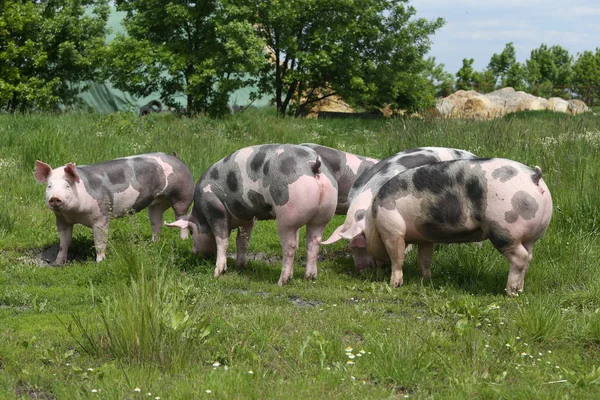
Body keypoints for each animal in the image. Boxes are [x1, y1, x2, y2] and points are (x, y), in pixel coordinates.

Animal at [34, 152, 193, 264]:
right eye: (49, 186)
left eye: (67, 185)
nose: (54, 197)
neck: (75, 214)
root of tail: (177, 159)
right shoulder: (62, 220)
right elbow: (64, 242)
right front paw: (58, 263)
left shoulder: (102, 216)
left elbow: (100, 241)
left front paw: (100, 262)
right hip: (156, 203)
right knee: (156, 222)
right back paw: (154, 243)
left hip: (183, 195)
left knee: (182, 217)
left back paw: (183, 240)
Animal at [166, 143, 340, 284]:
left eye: (191, 231)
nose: (194, 252)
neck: (201, 214)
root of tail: (314, 166)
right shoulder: (246, 217)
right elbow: (242, 241)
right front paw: (240, 266)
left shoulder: (215, 209)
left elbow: (222, 240)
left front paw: (218, 273)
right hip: (323, 215)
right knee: (314, 242)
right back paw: (309, 278)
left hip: (288, 215)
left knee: (290, 245)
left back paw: (281, 282)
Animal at [358, 159, 552, 296]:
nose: (374, 270)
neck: (373, 221)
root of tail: (534, 177)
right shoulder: (425, 237)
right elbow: (425, 259)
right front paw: (426, 280)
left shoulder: (392, 229)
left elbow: (397, 257)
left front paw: (394, 285)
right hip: (532, 235)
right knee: (529, 257)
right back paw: (520, 290)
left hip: (504, 229)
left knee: (520, 257)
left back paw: (510, 292)